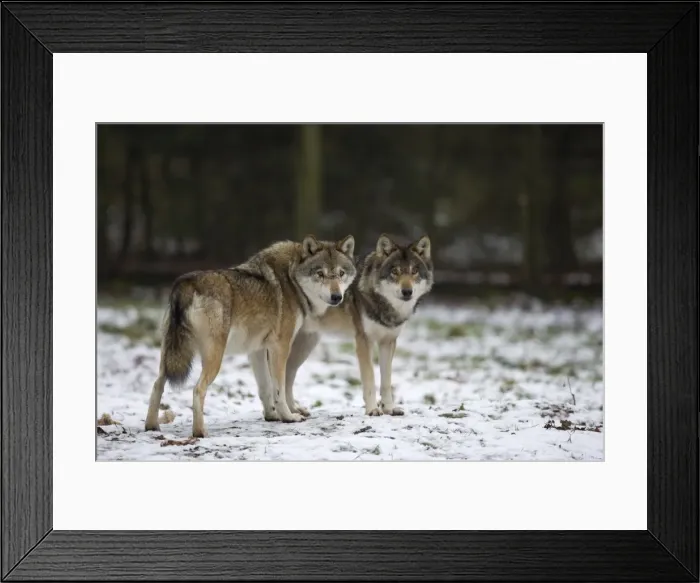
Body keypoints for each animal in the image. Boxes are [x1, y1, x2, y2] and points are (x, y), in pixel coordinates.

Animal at [144, 234, 357, 437]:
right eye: (320, 274)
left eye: (341, 274)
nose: (337, 297)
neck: (291, 278)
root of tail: (185, 284)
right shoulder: (280, 346)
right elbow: (278, 388)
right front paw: (288, 417)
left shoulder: (257, 350)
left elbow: (265, 388)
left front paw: (271, 416)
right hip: (214, 358)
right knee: (198, 389)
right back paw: (200, 432)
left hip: (169, 358)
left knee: (156, 385)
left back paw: (152, 427)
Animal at [281, 234, 433, 417]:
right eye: (395, 272)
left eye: (414, 271)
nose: (407, 292)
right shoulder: (364, 341)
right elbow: (370, 379)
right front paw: (373, 409)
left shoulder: (388, 342)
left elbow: (386, 381)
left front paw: (389, 408)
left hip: (306, 346)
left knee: (288, 375)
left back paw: (294, 409)